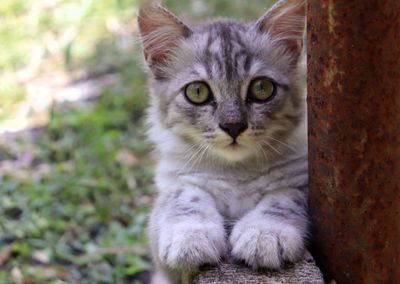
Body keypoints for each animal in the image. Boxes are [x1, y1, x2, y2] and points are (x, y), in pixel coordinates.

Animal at [138, 0, 306, 282]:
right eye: (197, 92)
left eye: (262, 88)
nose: (233, 126)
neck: (236, 173)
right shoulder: (174, 186)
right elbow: (185, 198)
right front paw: (191, 237)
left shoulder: (304, 180)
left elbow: (284, 198)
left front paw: (265, 234)